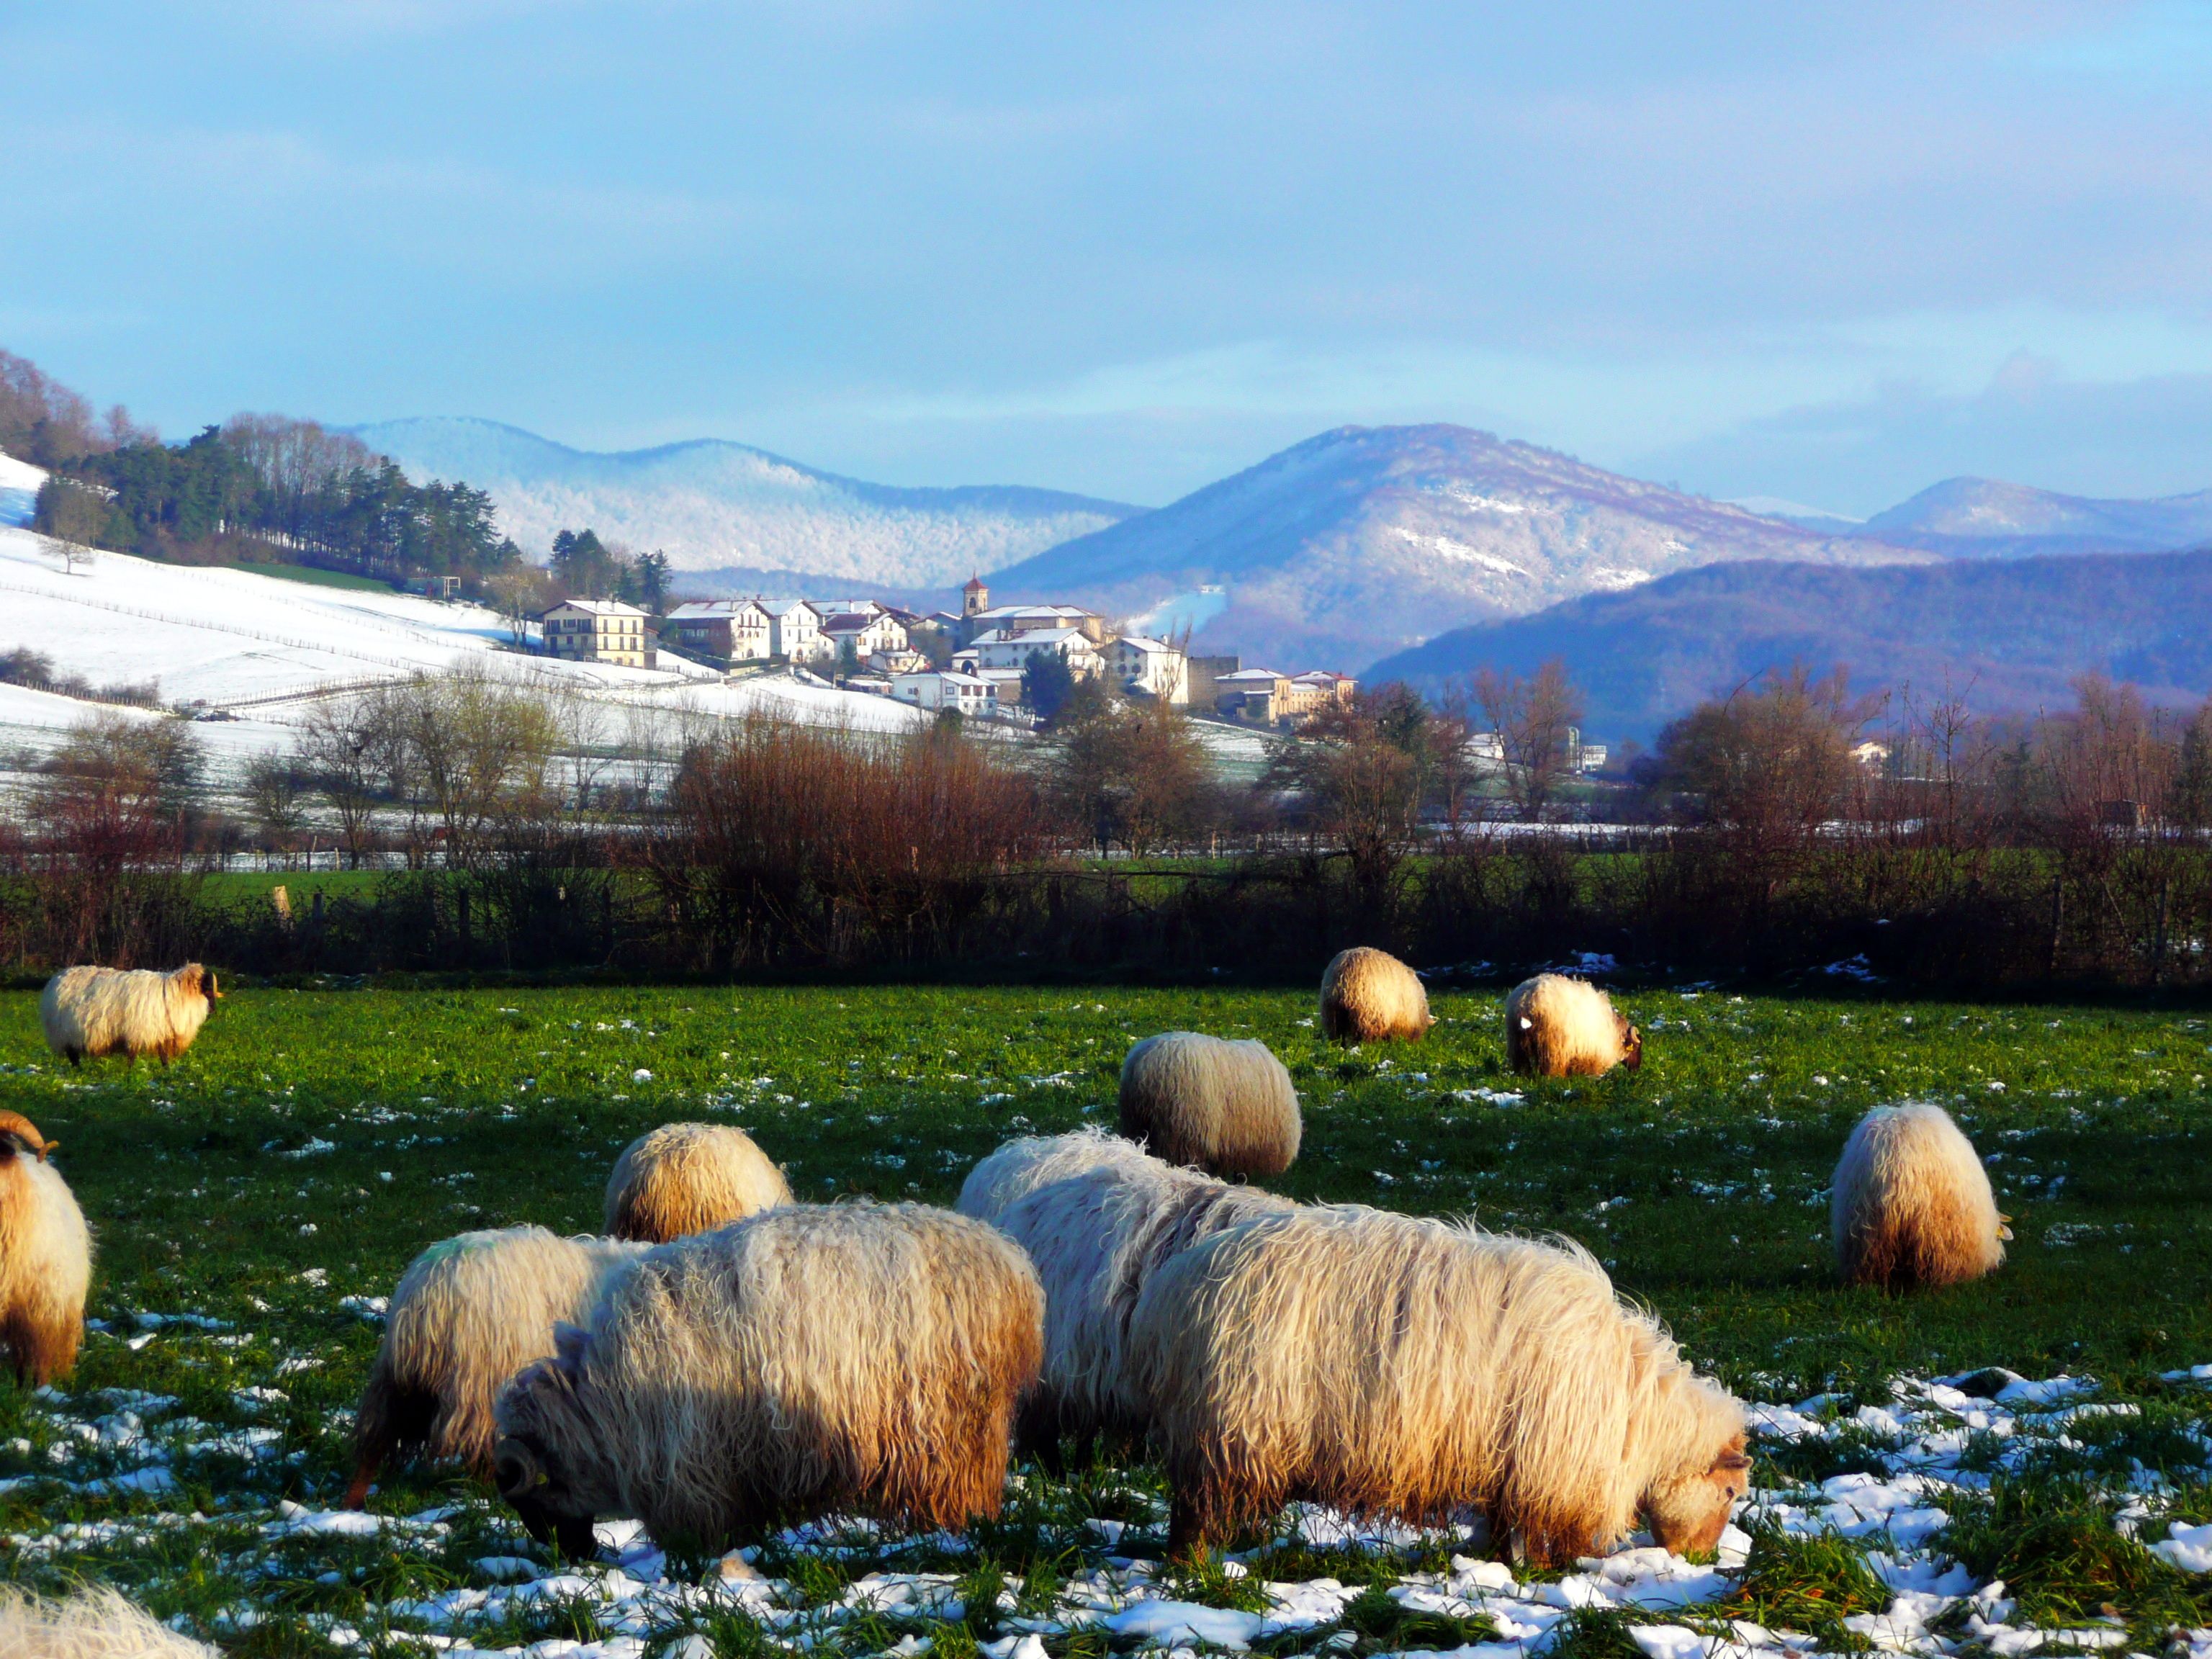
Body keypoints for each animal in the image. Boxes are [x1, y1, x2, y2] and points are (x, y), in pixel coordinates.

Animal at [39, 964, 221, 1067]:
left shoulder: (160, 1032)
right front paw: (130, 1073)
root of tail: (54, 980)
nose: (214, 1011)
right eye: (207, 990)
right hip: (64, 1032)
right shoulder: (137, 1032)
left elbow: (163, 1057)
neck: (175, 992)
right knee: (72, 1054)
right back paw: (78, 1070)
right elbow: (132, 1056)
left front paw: (167, 1072)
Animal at [345, 1226, 648, 1510]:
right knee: (484, 1447)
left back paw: (352, 1501)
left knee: (376, 1435)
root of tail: (433, 1286)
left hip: (399, 1376)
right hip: (482, 1382)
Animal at [492, 1201, 1043, 1556]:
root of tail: (1010, 1262)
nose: (571, 1554)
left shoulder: (693, 1464)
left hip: (951, 1430)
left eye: (533, 1492)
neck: (600, 1409)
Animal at [1129, 1204, 1750, 1566]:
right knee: (1195, 1512)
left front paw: (1497, 1563)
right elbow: (1541, 1533)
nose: (1700, 1561)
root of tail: (1168, 1288)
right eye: (1729, 1494)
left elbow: (1503, 1519)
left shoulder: (1512, 1457)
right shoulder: (1552, 1466)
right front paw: (1544, 1574)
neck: (1638, 1408)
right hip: (1227, 1427)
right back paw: (1193, 1572)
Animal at [1504, 973, 1642, 1077]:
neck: (1615, 1034)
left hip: (1516, 1040)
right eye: (1636, 1047)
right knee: (1552, 1066)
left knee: (1521, 1062)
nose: (1636, 1070)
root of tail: (1528, 1001)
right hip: (1554, 1044)